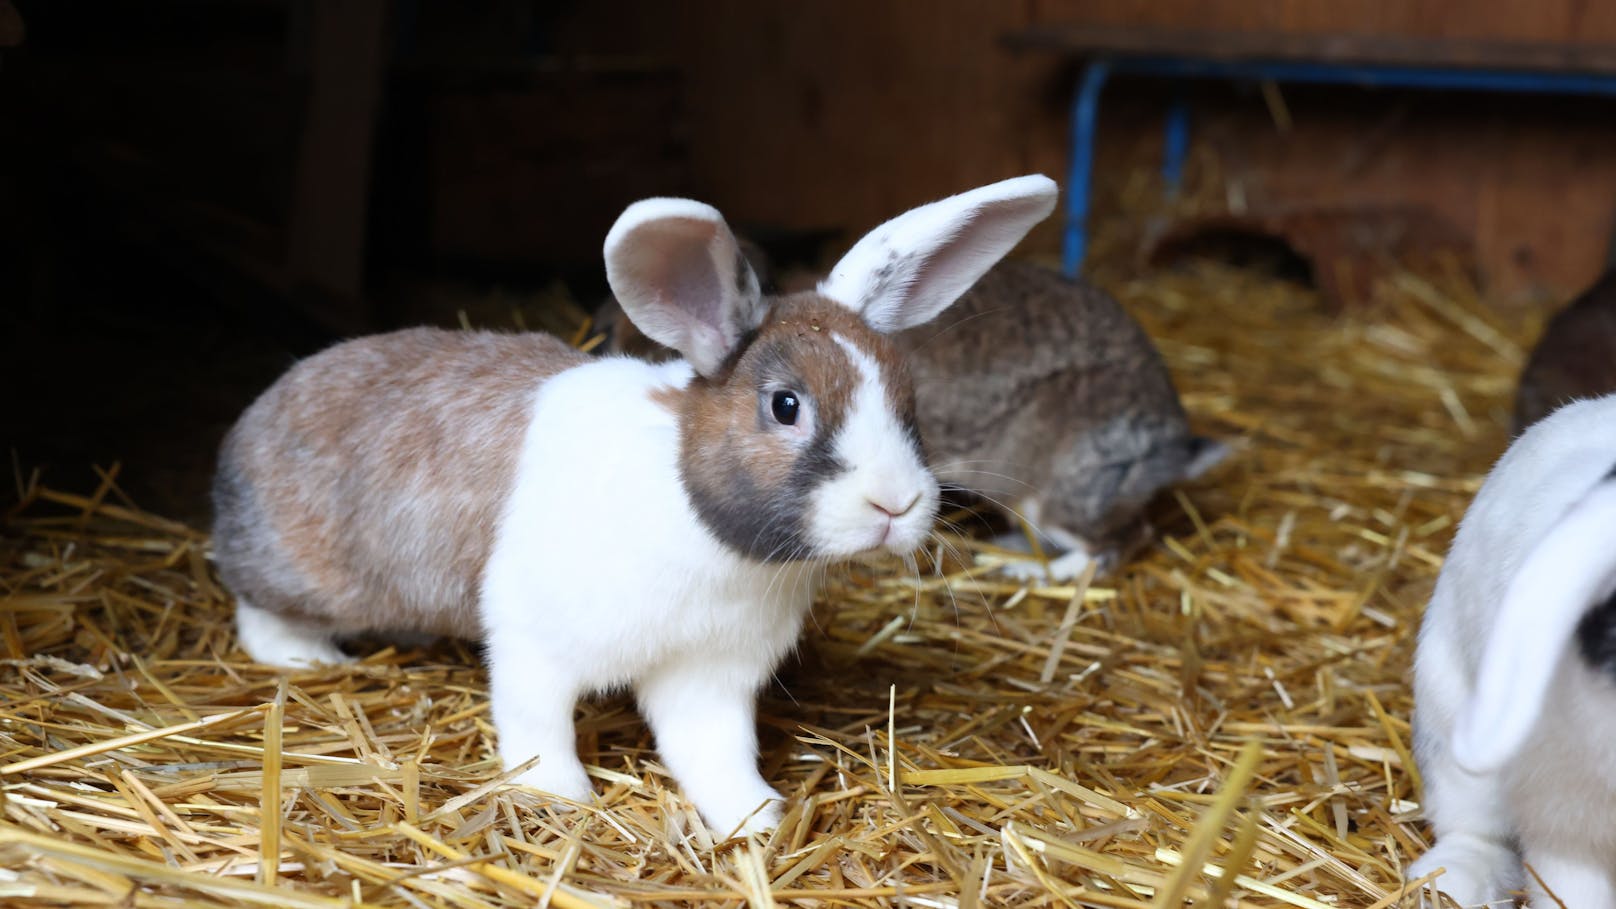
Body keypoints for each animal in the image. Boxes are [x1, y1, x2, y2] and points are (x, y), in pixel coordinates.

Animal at [211, 173, 1060, 834]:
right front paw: (563, 798)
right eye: (786, 405)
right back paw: (306, 656)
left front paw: (756, 815)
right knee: (254, 605)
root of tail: (254, 418)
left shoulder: (709, 679)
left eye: (909, 401)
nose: (897, 502)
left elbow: (712, 750)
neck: (705, 528)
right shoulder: (535, 646)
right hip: (296, 568)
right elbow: (536, 724)